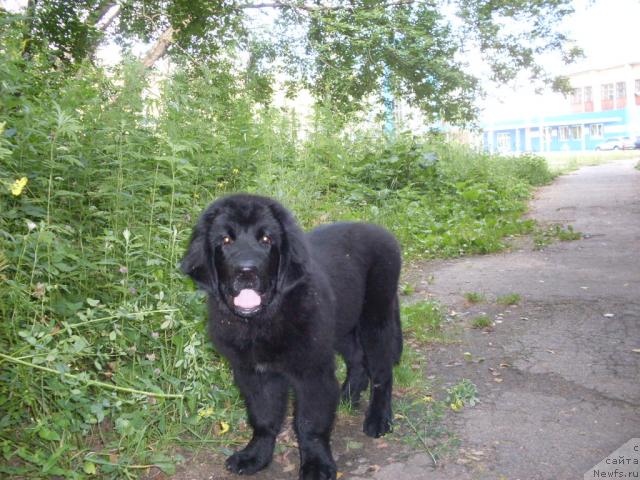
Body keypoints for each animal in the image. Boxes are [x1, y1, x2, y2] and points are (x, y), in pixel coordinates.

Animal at [181, 193, 400, 478]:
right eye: (226, 241)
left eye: (266, 240)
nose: (246, 271)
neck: (262, 321)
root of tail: (382, 231)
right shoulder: (254, 374)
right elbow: (263, 417)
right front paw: (255, 457)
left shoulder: (312, 372)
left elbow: (309, 424)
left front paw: (317, 465)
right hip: (340, 324)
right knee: (357, 358)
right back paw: (347, 396)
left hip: (375, 318)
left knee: (382, 372)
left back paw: (379, 418)